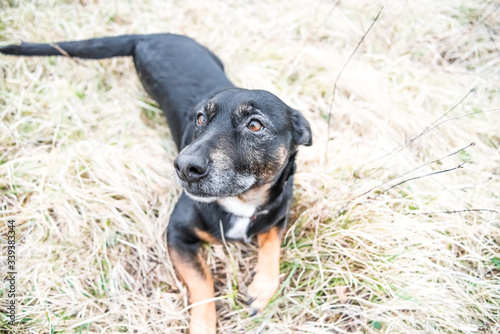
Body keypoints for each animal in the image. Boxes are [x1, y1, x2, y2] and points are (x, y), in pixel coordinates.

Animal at [0, 34, 312, 334]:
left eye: (255, 125)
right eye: (200, 118)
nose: (184, 166)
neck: (241, 204)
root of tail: (149, 36)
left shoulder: (279, 213)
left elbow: (271, 248)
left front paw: (261, 289)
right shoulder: (176, 234)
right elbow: (203, 284)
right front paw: (202, 326)